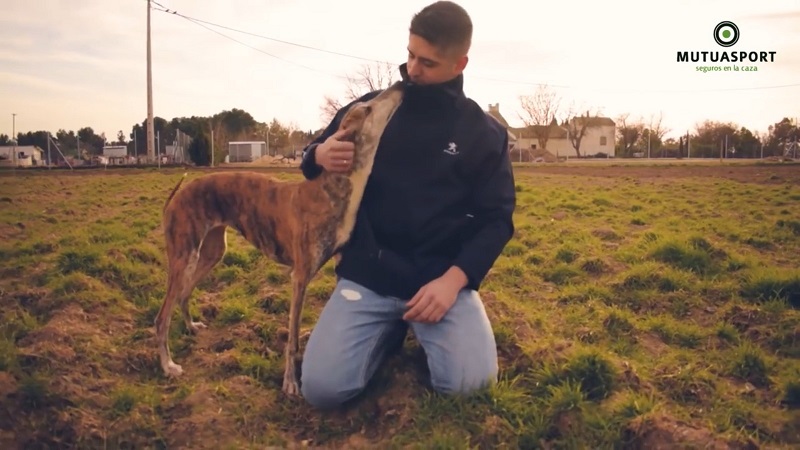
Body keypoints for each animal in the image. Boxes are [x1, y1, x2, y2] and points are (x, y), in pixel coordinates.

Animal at [155, 82, 406, 396]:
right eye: (368, 108)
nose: (402, 83)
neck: (329, 190)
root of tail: (177, 195)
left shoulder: (337, 263)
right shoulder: (299, 277)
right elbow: (293, 340)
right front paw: (290, 382)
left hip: (212, 252)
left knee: (184, 294)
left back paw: (191, 327)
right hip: (184, 257)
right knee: (161, 316)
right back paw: (168, 366)